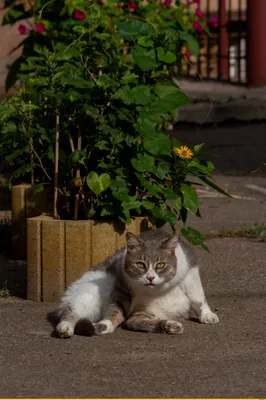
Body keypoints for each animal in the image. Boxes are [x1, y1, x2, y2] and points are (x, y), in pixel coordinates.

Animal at [47, 228, 218, 338]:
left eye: (160, 265)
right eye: (140, 265)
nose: (150, 278)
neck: (158, 290)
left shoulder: (191, 271)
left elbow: (198, 298)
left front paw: (207, 315)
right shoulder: (121, 287)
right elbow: (115, 311)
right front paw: (105, 325)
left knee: (134, 322)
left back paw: (171, 326)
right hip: (93, 294)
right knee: (71, 312)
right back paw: (65, 328)